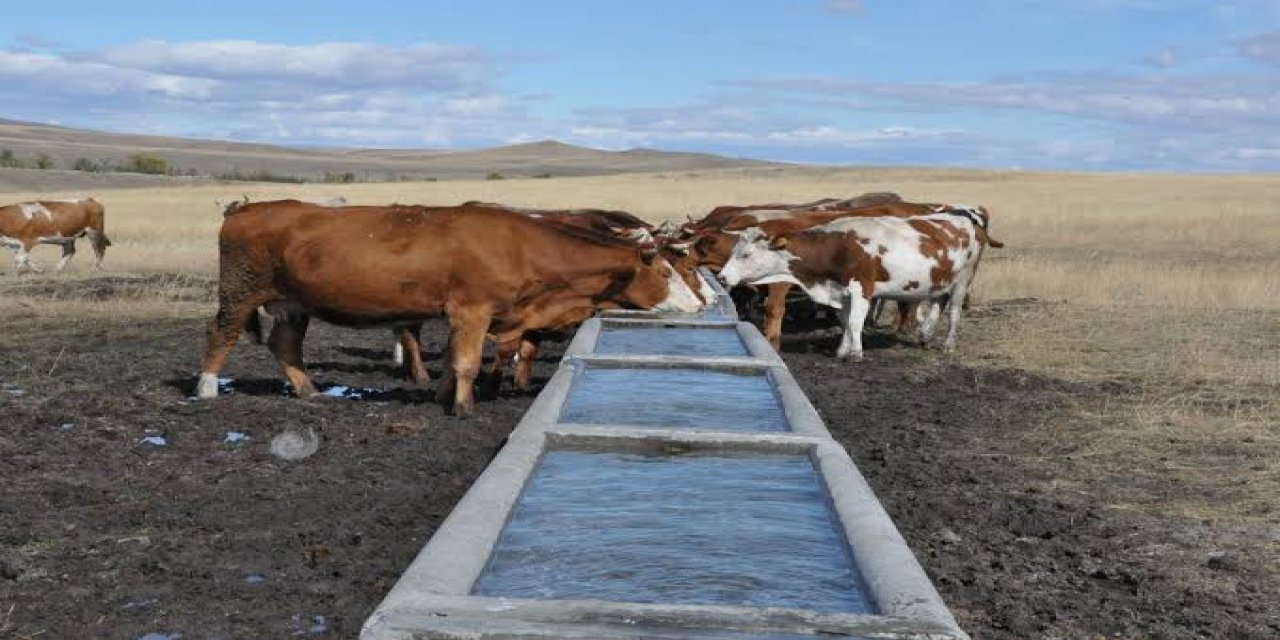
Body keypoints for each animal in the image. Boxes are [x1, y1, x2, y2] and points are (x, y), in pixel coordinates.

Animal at [194, 202, 706, 417]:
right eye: (666, 271)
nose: (699, 305)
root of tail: (247, 208)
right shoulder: (472, 310)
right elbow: (466, 362)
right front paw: (463, 407)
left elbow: (456, 359)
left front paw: (443, 396)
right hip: (241, 291)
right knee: (221, 334)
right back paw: (206, 390)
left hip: (293, 303)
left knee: (285, 345)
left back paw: (308, 390)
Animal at [721, 206, 998, 360]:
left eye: (746, 254)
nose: (723, 277)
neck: (839, 247)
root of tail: (967, 219)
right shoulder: (841, 291)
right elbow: (845, 321)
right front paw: (842, 350)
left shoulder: (862, 288)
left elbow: (855, 321)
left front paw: (856, 354)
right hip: (941, 280)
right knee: (938, 305)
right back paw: (925, 337)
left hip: (963, 281)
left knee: (954, 312)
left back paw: (948, 345)